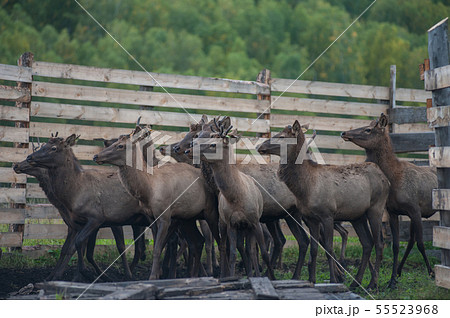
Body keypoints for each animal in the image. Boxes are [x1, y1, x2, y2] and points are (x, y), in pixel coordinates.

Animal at [92, 125, 219, 280]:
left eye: (120, 145)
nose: (96, 156)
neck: (148, 190)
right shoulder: (151, 218)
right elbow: (157, 247)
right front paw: (158, 274)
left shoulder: (165, 216)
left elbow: (158, 248)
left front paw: (154, 276)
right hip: (187, 218)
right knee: (198, 241)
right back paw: (194, 275)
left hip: (210, 212)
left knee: (217, 239)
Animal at [188, 117, 276, 278]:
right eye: (197, 137)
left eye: (213, 143)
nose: (188, 149)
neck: (236, 197)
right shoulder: (231, 223)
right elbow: (233, 253)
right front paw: (232, 276)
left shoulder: (255, 221)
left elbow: (263, 253)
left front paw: (270, 277)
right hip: (224, 223)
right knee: (224, 246)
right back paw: (225, 274)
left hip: (248, 227)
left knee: (250, 250)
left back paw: (254, 273)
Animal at [272, 121, 388, 288]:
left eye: (282, 137)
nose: (261, 146)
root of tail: (386, 179)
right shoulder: (311, 218)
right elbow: (315, 247)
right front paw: (312, 279)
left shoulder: (327, 215)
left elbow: (328, 247)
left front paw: (333, 279)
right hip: (357, 217)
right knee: (367, 243)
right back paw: (356, 282)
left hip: (376, 209)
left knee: (379, 243)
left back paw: (373, 283)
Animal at [342, 113, 438, 286]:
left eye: (368, 130)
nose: (344, 132)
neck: (394, 178)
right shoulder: (393, 211)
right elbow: (396, 246)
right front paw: (392, 280)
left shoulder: (415, 209)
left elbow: (421, 243)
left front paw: (431, 272)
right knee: (410, 240)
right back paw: (399, 271)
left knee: (415, 240)